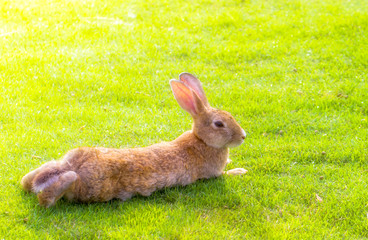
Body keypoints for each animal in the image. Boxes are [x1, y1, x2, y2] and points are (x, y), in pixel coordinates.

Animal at [21, 72, 249, 207]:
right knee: (50, 194)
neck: (202, 141)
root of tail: (73, 166)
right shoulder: (212, 175)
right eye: (219, 124)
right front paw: (240, 171)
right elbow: (223, 175)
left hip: (59, 162)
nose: (243, 136)